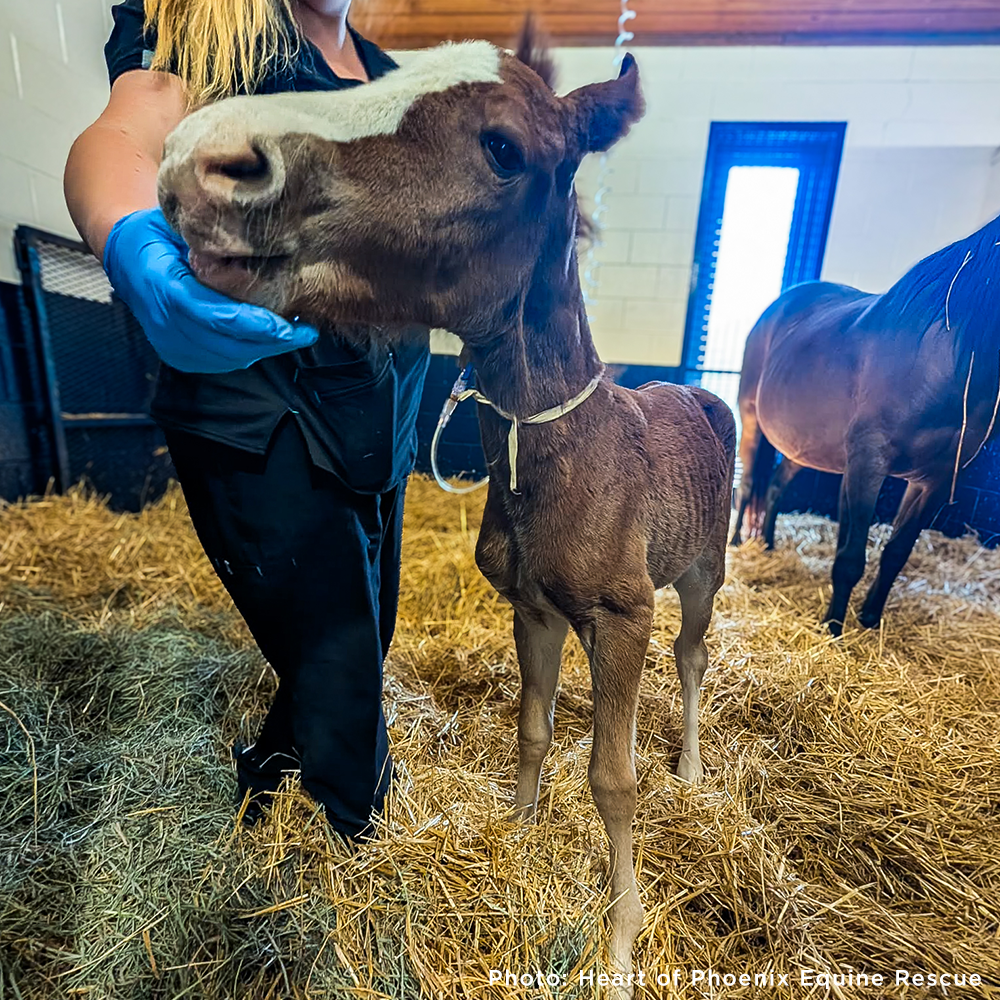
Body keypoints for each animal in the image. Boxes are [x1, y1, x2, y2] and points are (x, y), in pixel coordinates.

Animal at [157, 30, 736, 990]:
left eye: (504, 147)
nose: (198, 160)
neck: (559, 451)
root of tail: (700, 397)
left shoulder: (621, 617)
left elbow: (613, 779)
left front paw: (620, 940)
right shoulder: (533, 610)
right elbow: (535, 730)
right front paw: (519, 830)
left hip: (701, 572)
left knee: (692, 658)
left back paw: (691, 767)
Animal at [732, 222, 1000, 635]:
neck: (945, 357)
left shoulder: (934, 481)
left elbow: (896, 553)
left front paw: (871, 619)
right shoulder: (868, 464)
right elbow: (850, 557)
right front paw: (833, 626)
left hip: (804, 447)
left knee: (775, 486)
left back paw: (770, 545)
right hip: (751, 422)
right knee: (747, 484)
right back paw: (733, 545)